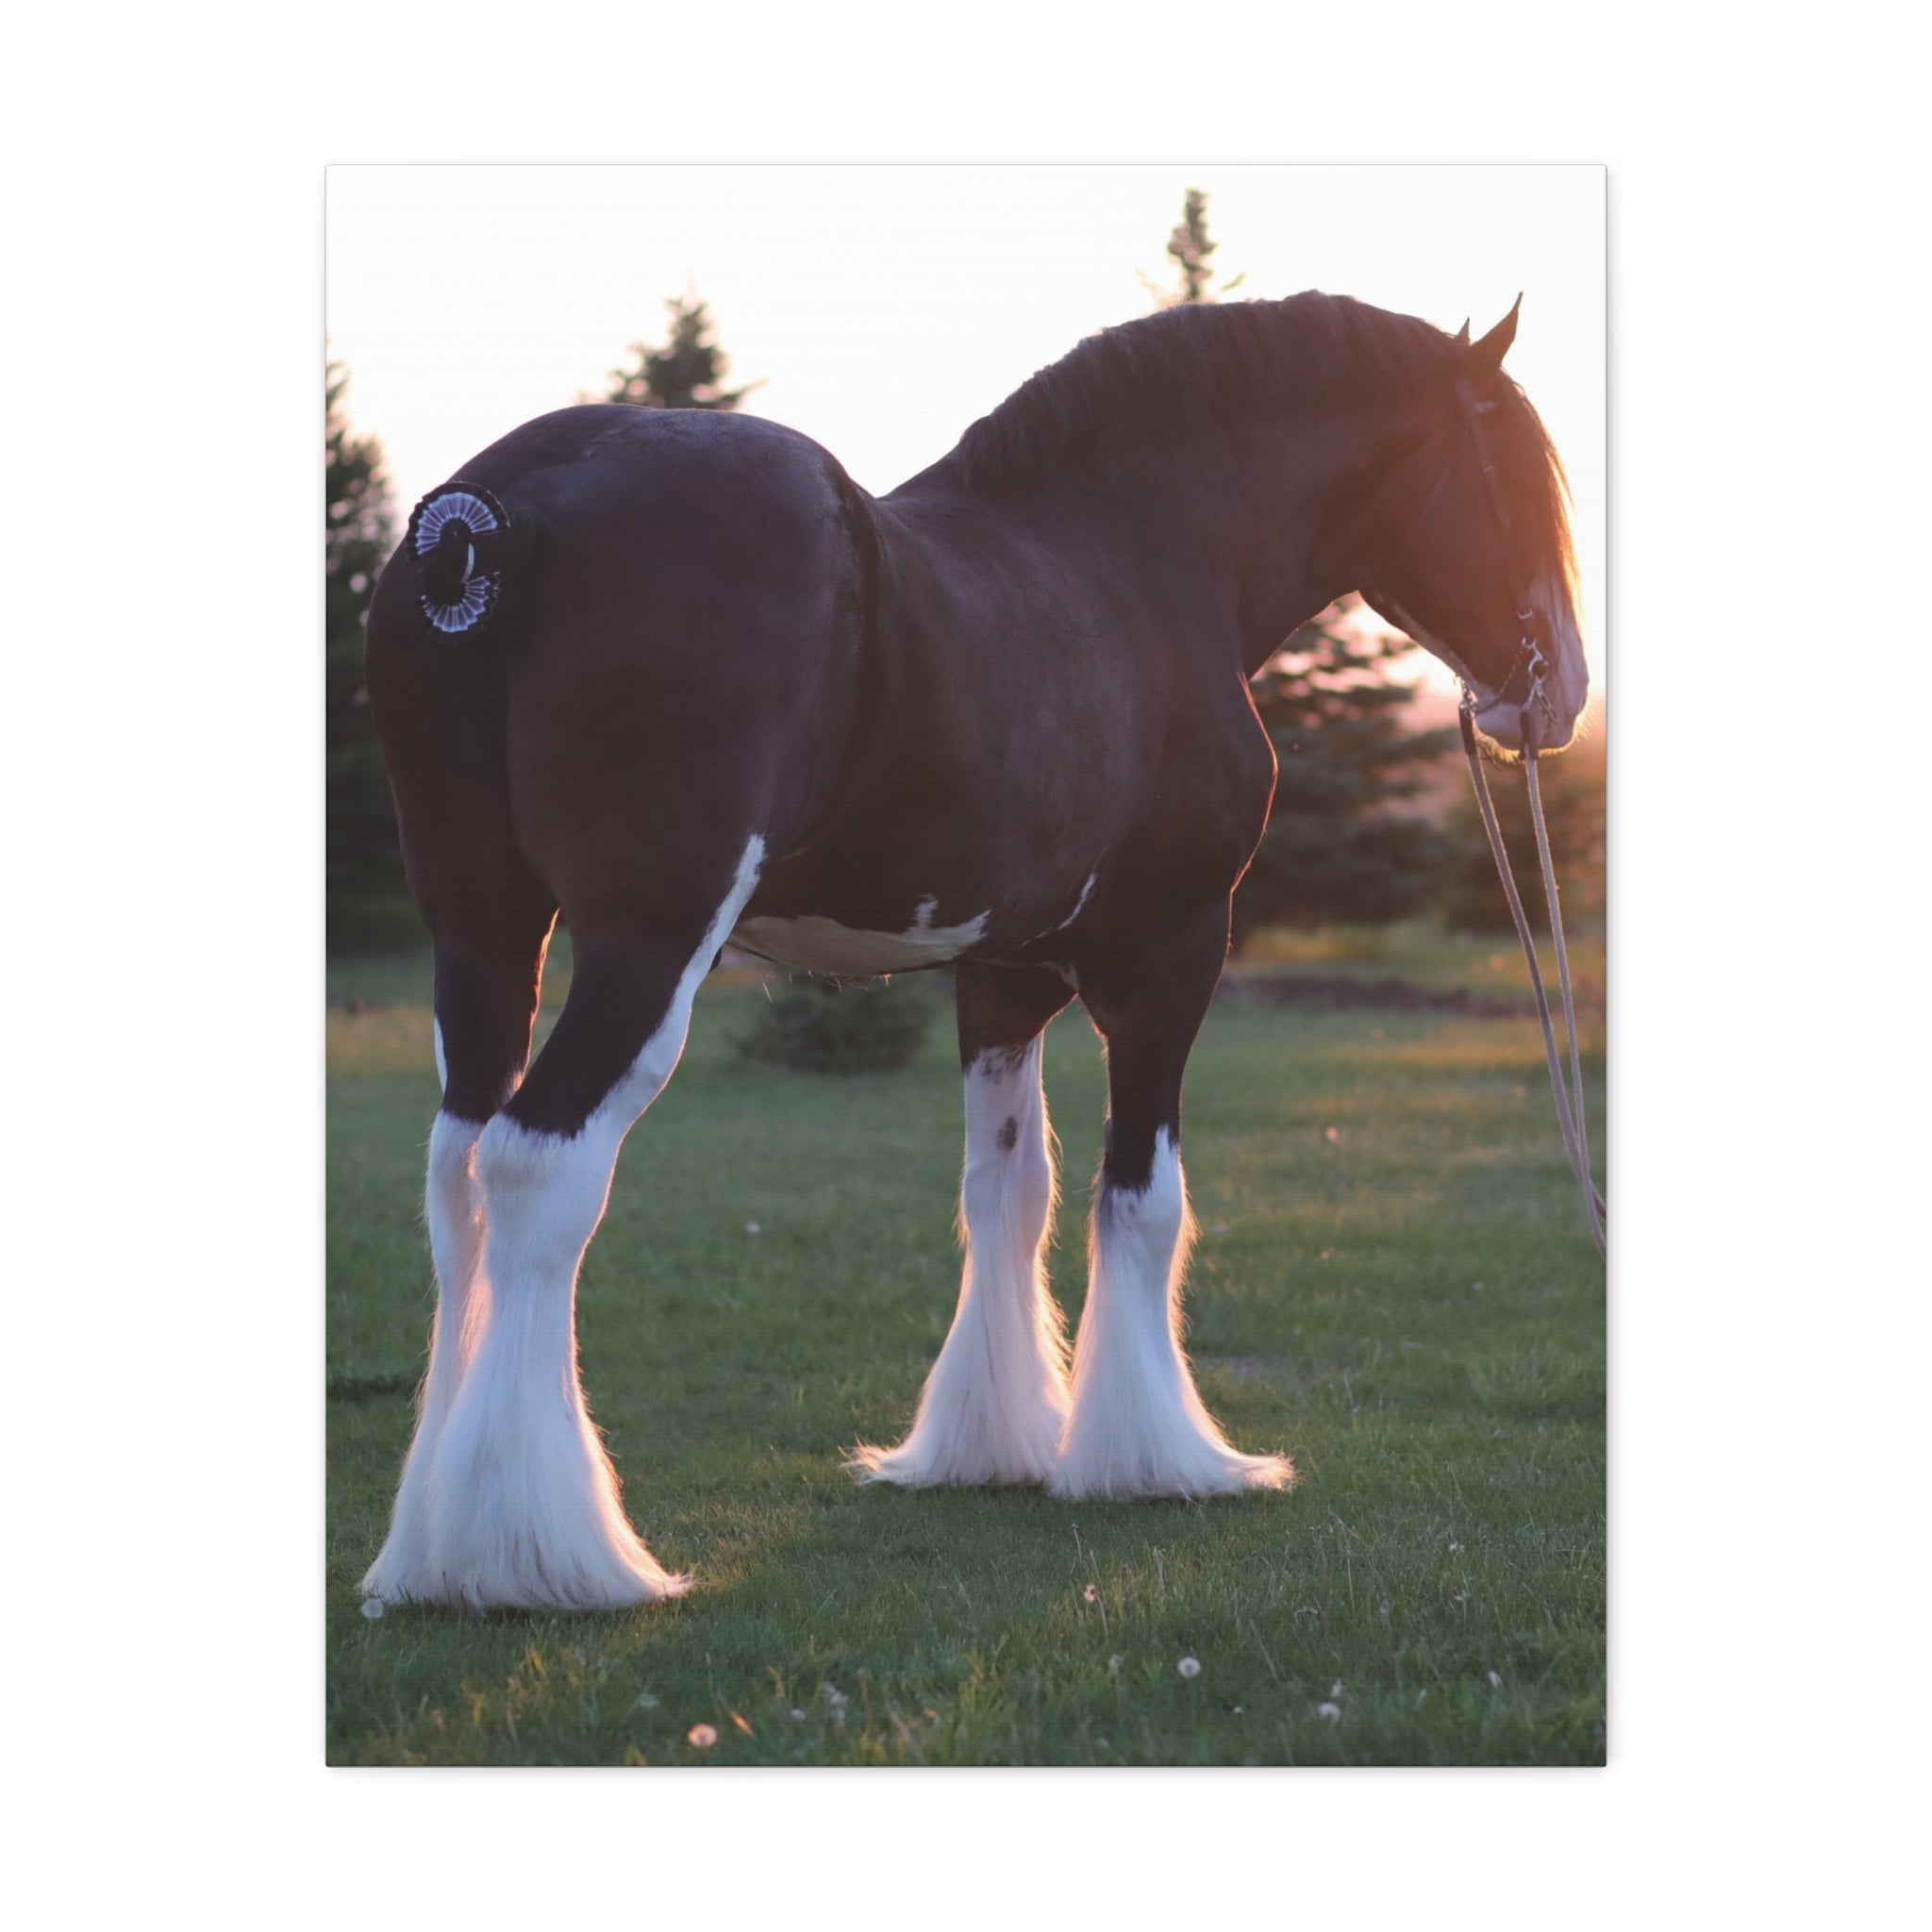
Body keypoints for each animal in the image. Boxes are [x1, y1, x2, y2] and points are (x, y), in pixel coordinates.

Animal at [358, 290, 1587, 1614]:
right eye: (1516, 474)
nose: (1561, 693)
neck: (1133, 560)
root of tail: (495, 515)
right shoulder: (1170, 952)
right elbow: (1140, 1198)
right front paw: (1155, 1458)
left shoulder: (1001, 975)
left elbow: (1006, 1188)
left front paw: (989, 1444)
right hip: (647, 942)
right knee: (540, 1167)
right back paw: (538, 1555)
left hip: (484, 929)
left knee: (456, 1171)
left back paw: (428, 1548)